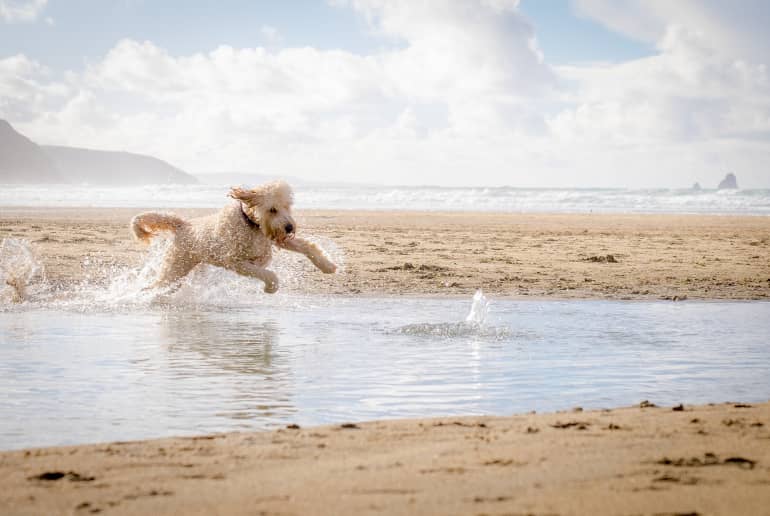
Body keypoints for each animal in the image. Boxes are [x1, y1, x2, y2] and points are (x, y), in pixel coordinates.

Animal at [130, 179, 334, 292]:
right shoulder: (236, 261)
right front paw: (271, 287)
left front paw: (327, 265)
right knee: (157, 284)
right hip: (175, 267)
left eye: (287, 206)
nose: (290, 228)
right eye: (272, 209)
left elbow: (306, 246)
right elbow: (268, 274)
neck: (251, 224)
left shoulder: (272, 238)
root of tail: (183, 225)